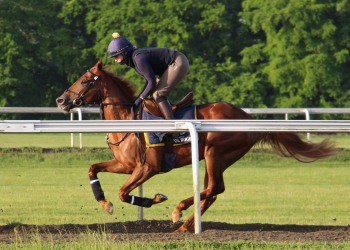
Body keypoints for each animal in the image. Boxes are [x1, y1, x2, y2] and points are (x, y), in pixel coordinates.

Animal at [56, 60, 338, 232]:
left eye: (84, 80)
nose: (61, 100)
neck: (127, 120)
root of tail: (247, 117)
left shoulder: (148, 168)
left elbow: (124, 193)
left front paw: (155, 199)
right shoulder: (126, 164)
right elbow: (93, 169)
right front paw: (104, 202)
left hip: (215, 153)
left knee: (214, 188)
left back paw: (179, 213)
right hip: (215, 158)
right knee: (212, 191)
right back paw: (185, 226)